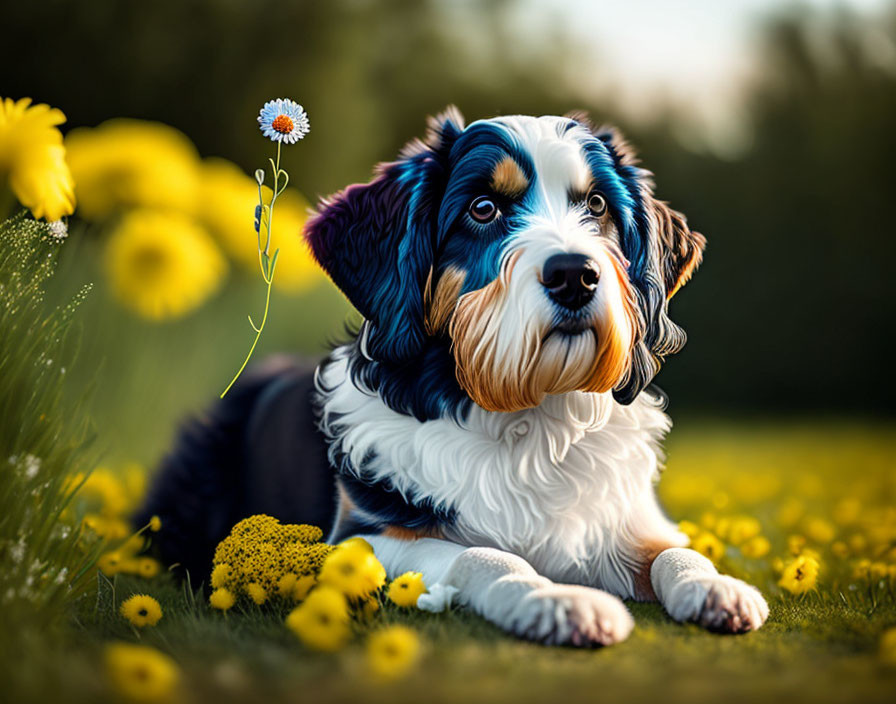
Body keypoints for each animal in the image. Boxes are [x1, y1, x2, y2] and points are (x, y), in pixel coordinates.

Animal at [136, 108, 768, 644]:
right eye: (483, 209)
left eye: (596, 206)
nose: (576, 274)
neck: (529, 415)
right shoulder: (362, 537)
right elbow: (482, 554)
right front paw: (557, 600)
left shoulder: (629, 519)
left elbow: (673, 550)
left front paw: (716, 585)